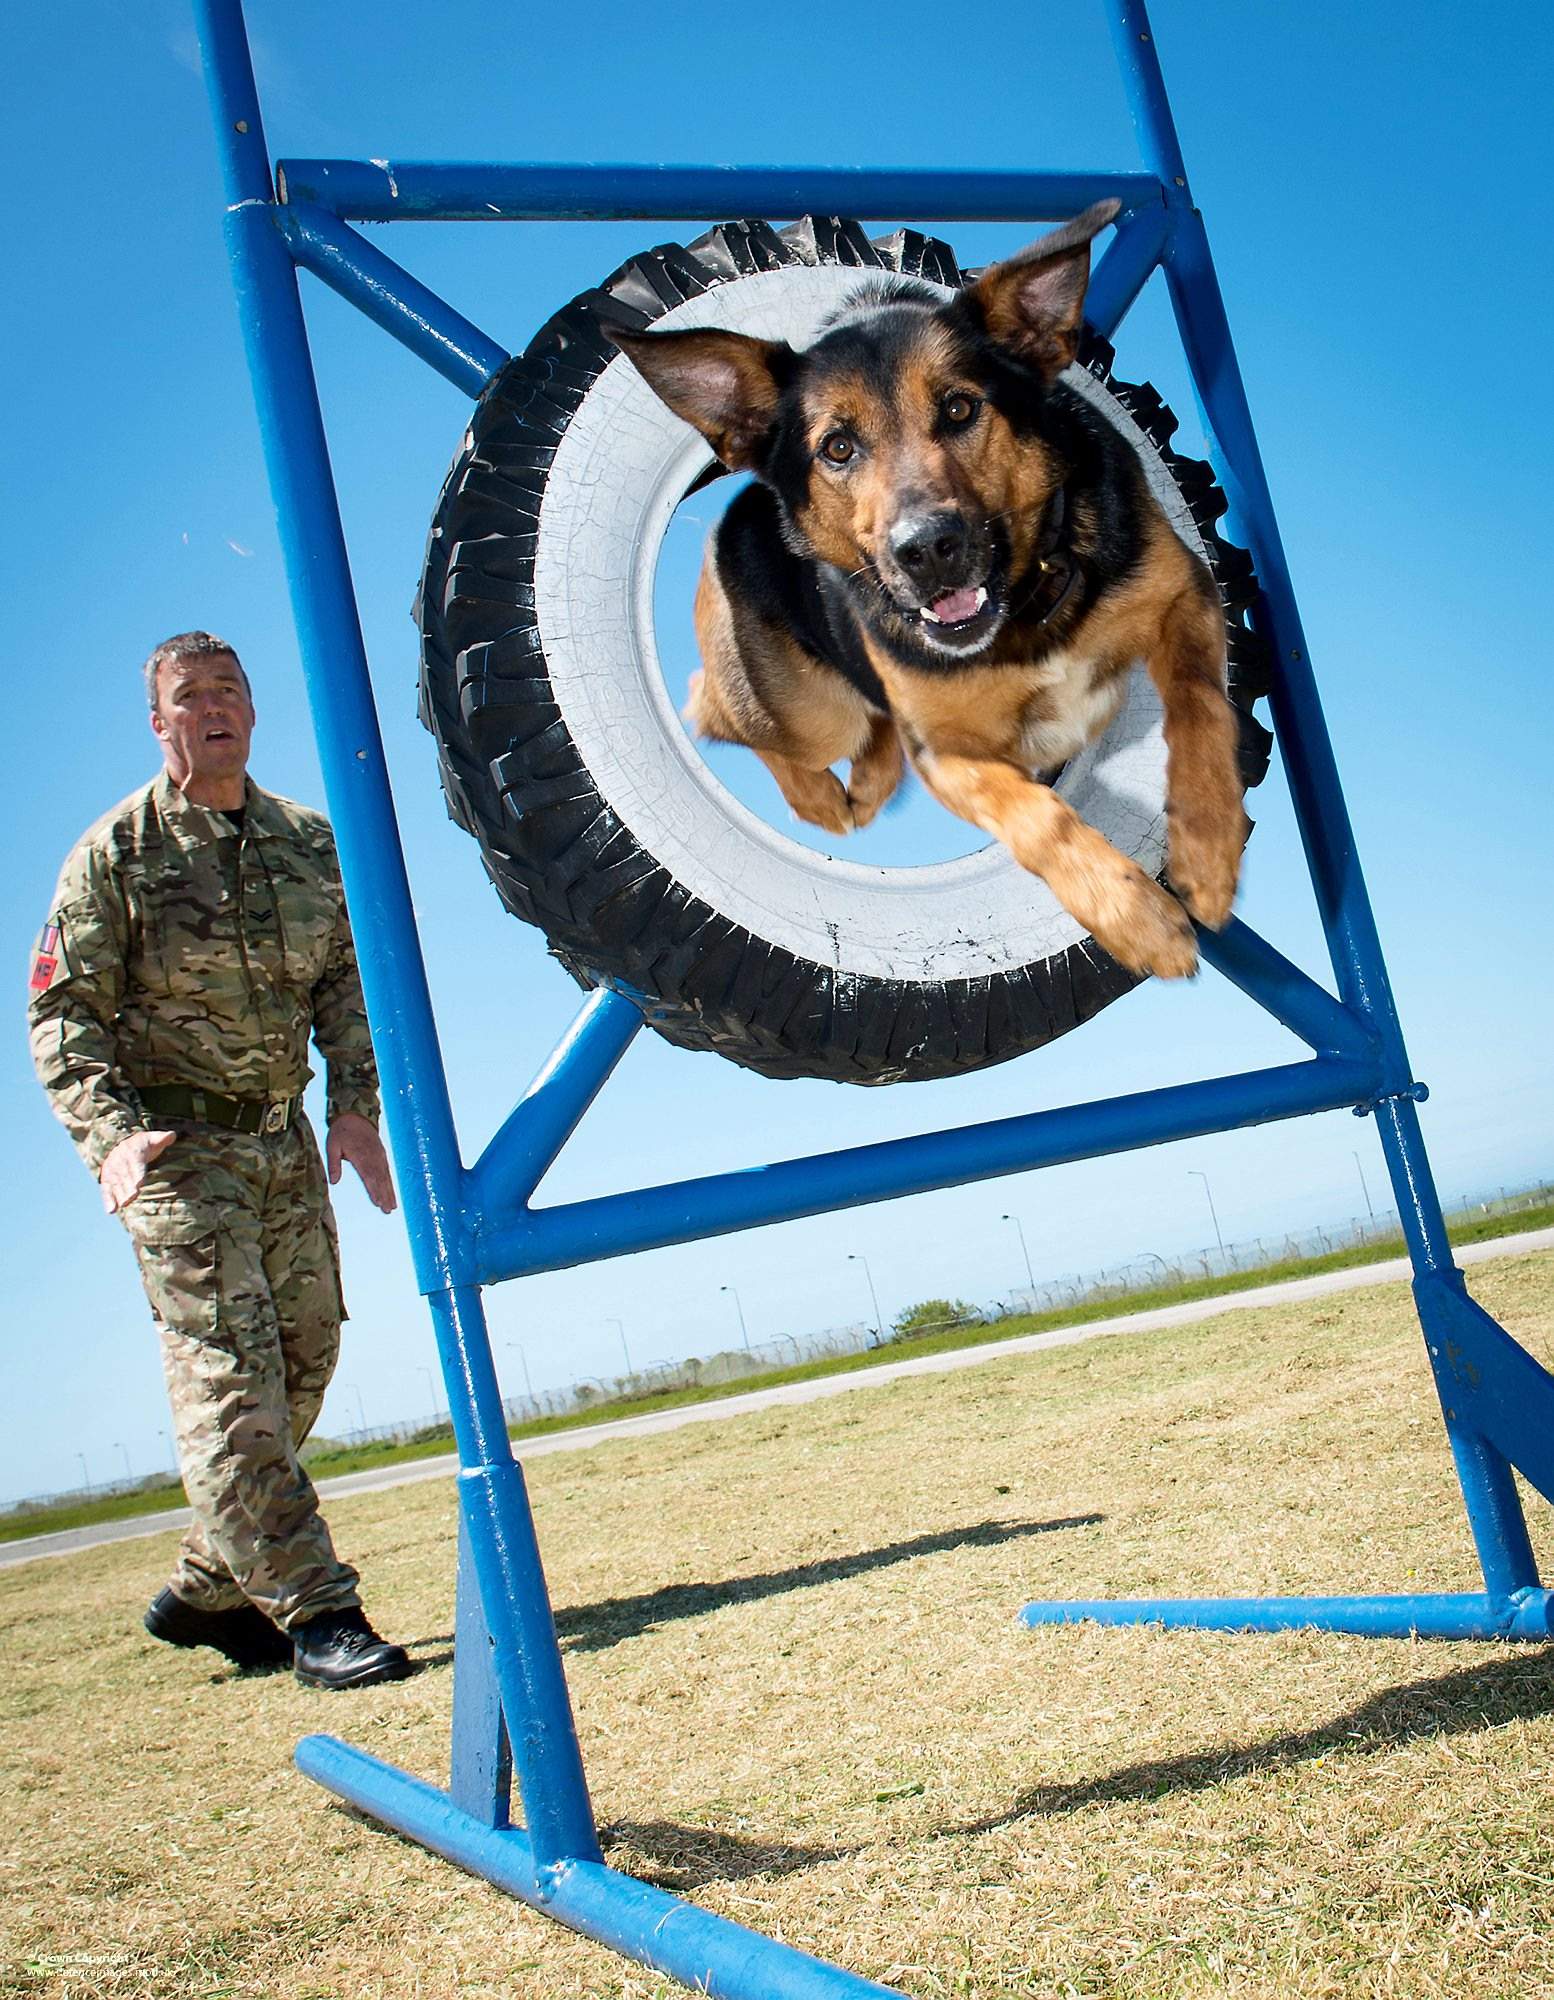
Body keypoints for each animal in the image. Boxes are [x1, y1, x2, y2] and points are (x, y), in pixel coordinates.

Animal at [608, 199, 1248, 980]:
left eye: (960, 410)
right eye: (838, 448)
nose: (927, 551)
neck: (1026, 612)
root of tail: (740, 508)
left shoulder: (1186, 594)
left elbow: (1201, 704)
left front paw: (1207, 852)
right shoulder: (952, 752)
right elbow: (1035, 815)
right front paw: (1134, 915)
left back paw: (871, 779)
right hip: (805, 709)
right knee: (716, 709)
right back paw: (820, 797)